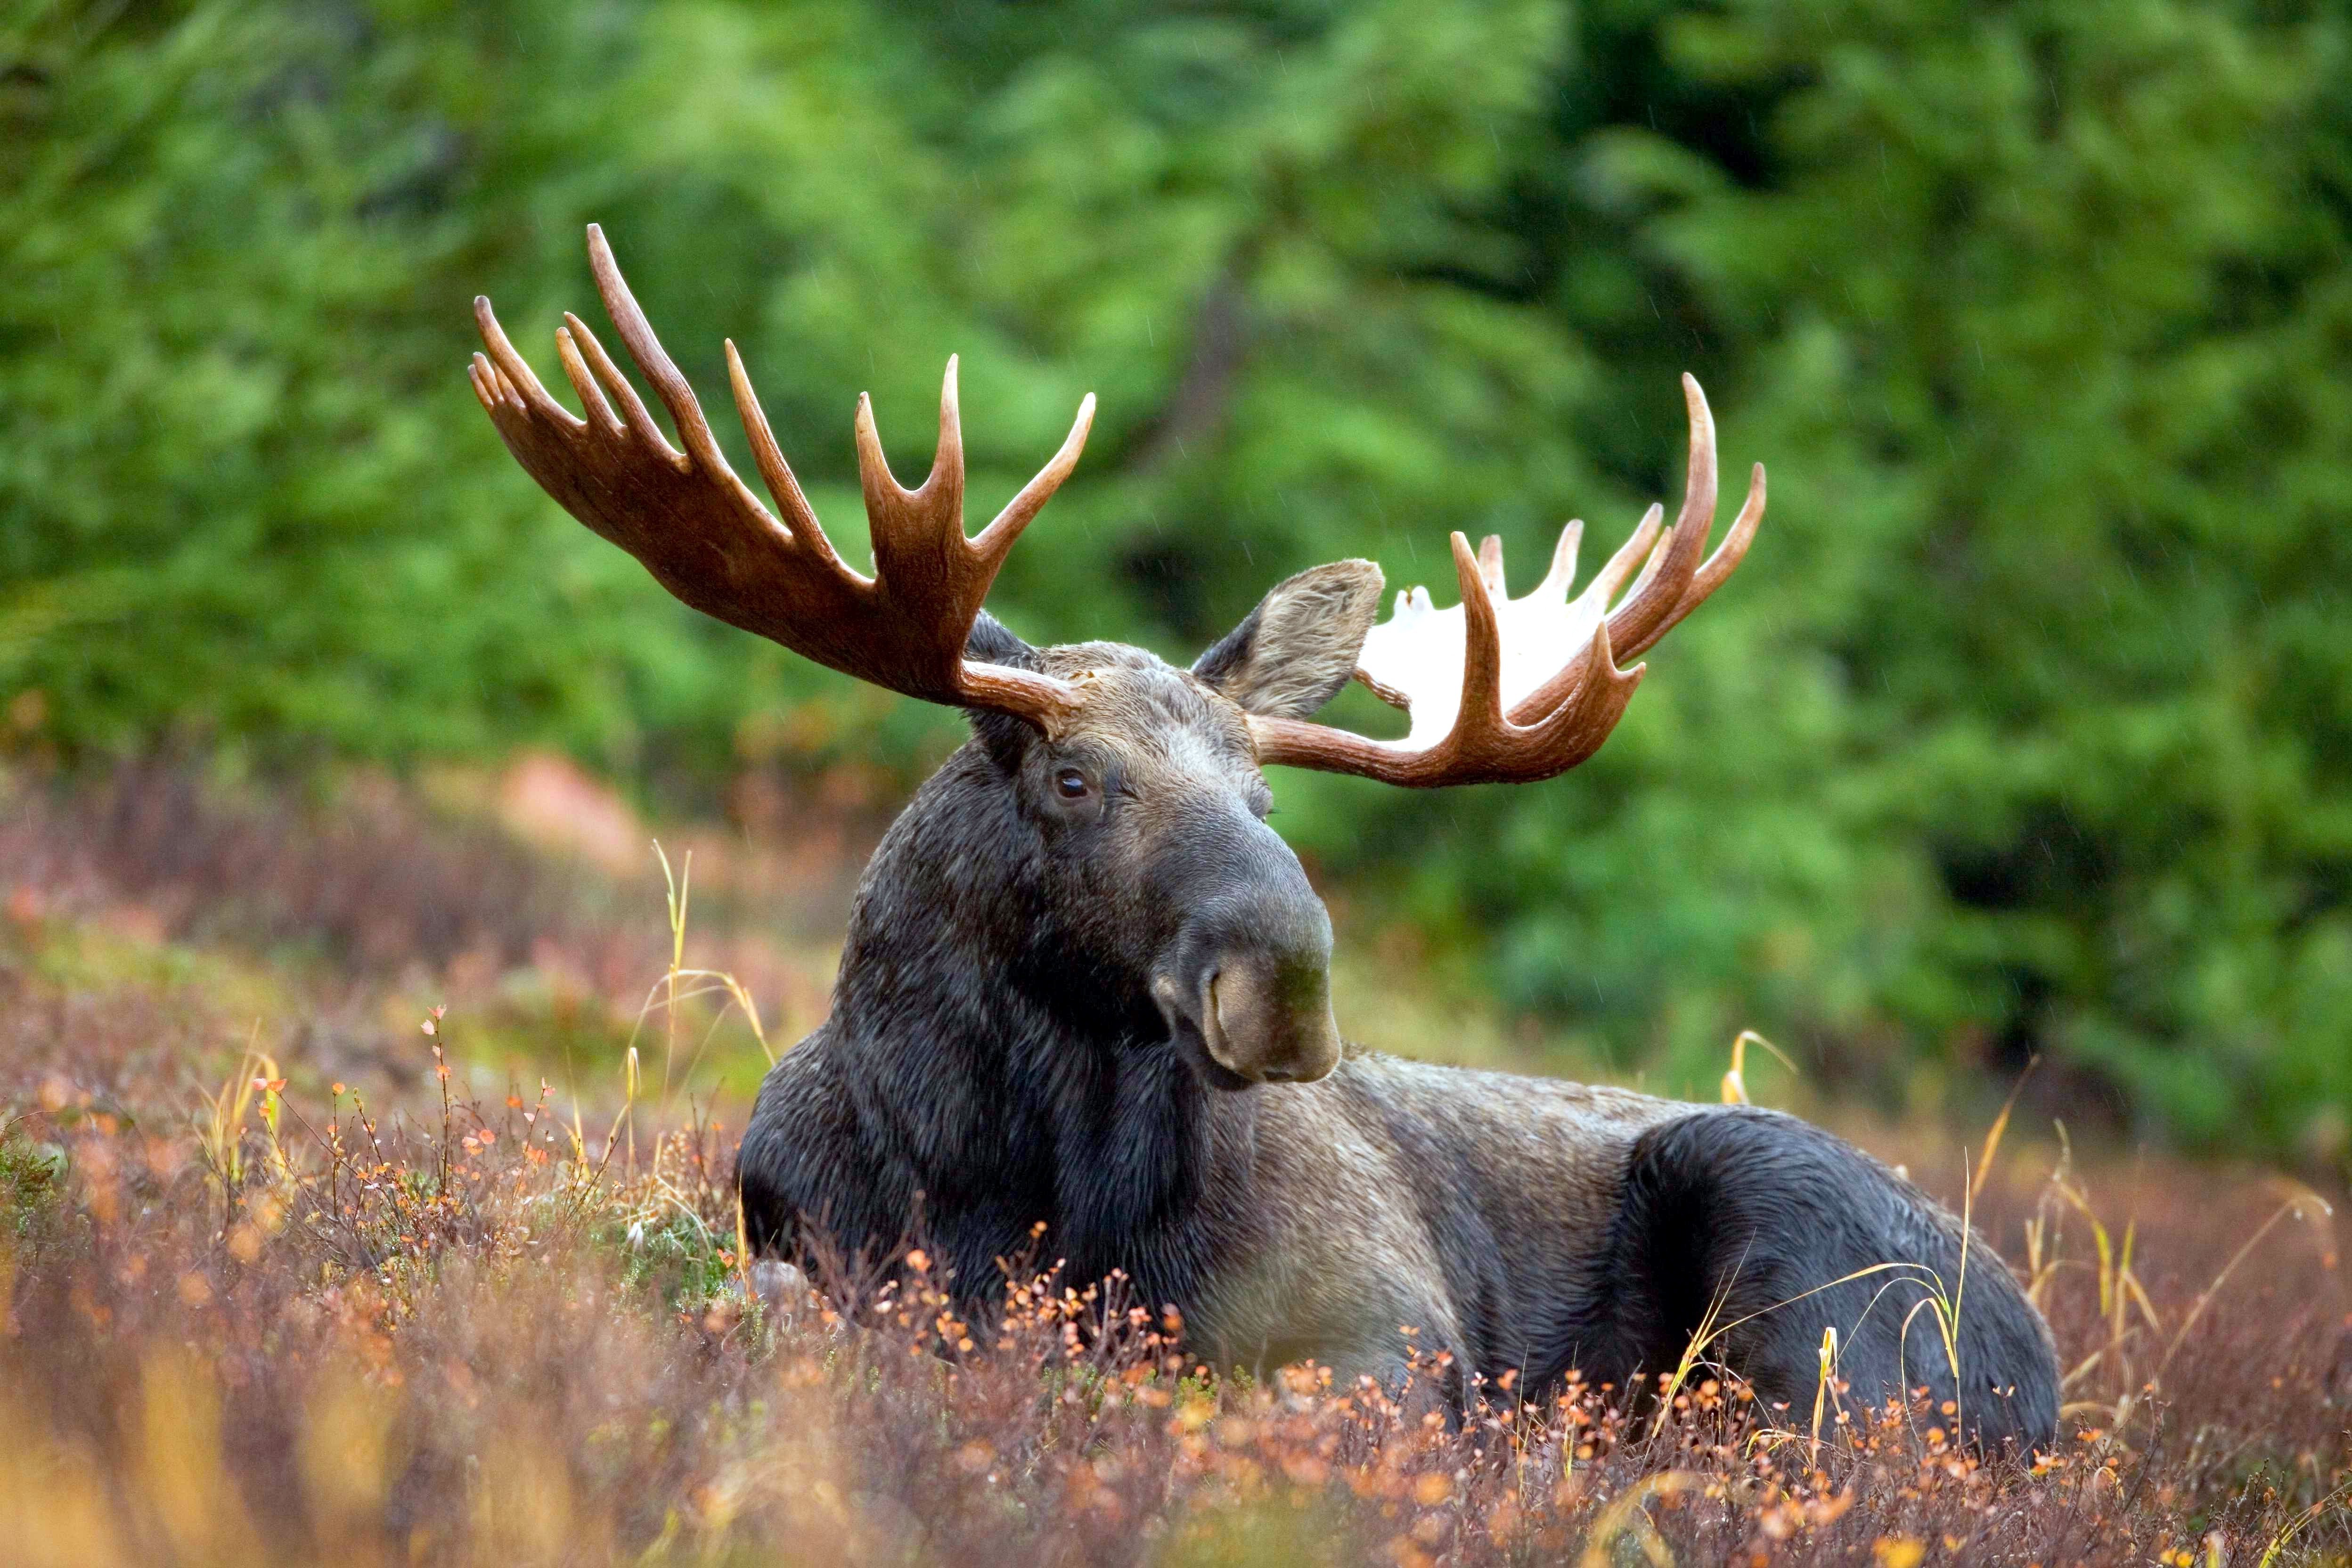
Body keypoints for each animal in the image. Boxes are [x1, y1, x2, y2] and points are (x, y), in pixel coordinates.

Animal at [468, 226, 2060, 1450]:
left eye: (1265, 796)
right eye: (1074, 780)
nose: (1283, 980)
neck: (1010, 1186)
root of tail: (2043, 1366)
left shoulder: (1390, 1331)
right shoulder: (801, 1242)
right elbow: (777, 1306)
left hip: (1801, 1265)